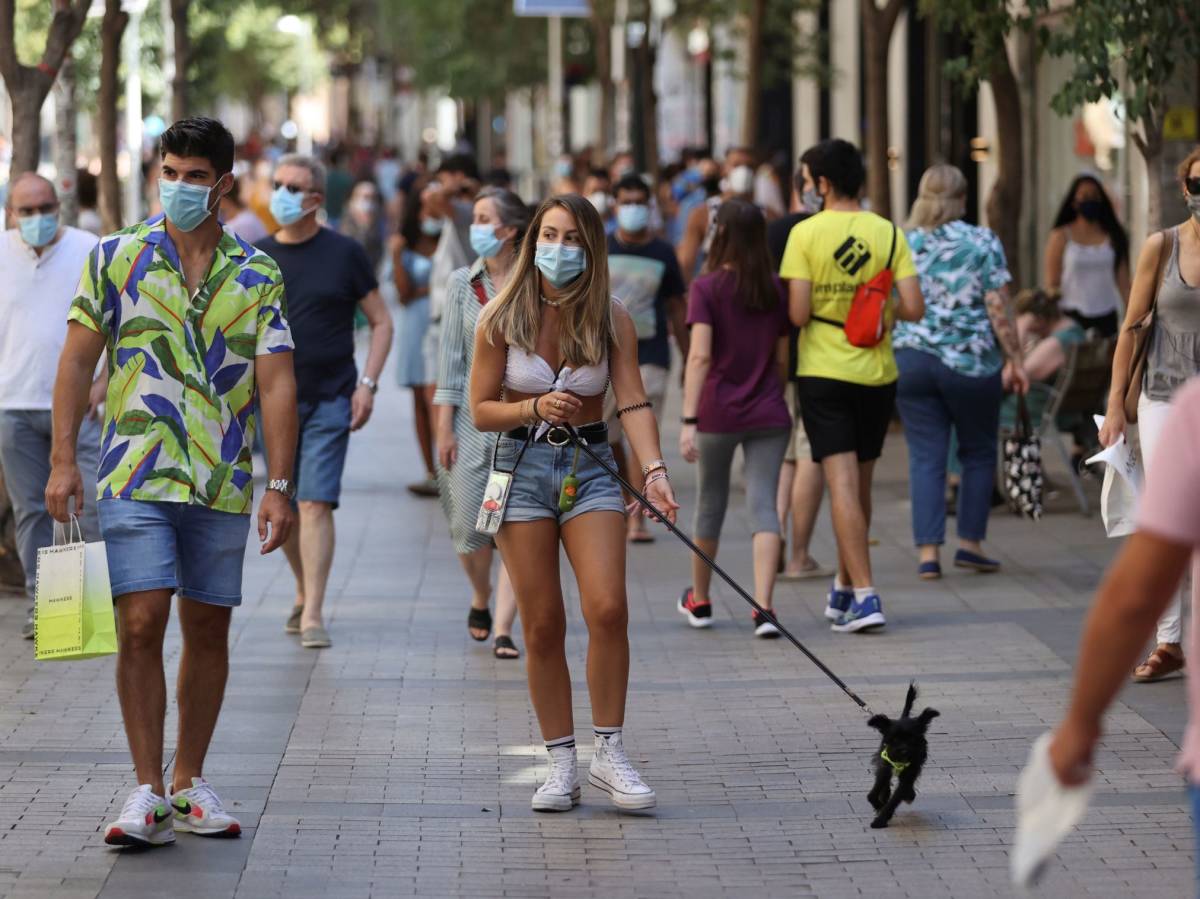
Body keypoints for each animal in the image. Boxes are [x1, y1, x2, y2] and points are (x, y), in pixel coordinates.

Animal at [868, 681, 940, 825]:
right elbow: (873, 793)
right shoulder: (884, 766)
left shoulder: (909, 772)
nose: (904, 750)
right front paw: (879, 804)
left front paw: (881, 819)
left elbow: (896, 798)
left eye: (911, 738)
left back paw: (908, 795)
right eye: (895, 739)